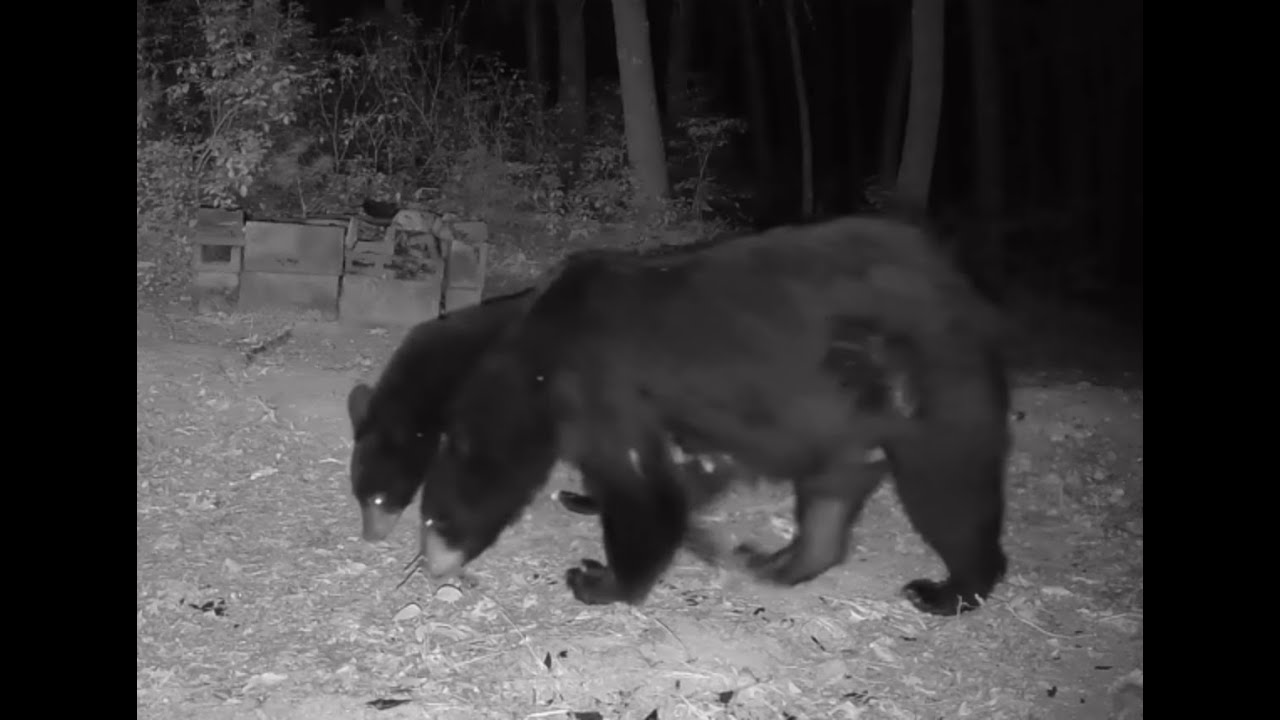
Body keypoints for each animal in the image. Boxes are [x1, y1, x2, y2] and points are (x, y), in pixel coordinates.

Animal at [410, 215, 1012, 617]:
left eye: (435, 518)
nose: (430, 565)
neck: (540, 359)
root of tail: (965, 292)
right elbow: (685, 471)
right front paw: (581, 497)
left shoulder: (602, 383)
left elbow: (643, 491)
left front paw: (597, 580)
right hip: (846, 420)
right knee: (830, 497)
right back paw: (776, 561)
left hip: (931, 392)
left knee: (949, 490)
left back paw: (948, 589)